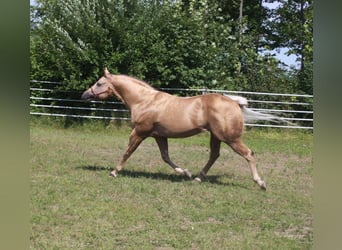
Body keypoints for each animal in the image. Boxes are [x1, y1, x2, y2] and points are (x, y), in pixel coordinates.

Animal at [81, 68, 276, 189]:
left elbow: (127, 152)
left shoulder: (139, 132)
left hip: (230, 138)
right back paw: (197, 178)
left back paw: (261, 183)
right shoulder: (159, 136)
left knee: (248, 154)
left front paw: (114, 172)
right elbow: (166, 157)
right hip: (216, 136)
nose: (84, 95)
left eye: (99, 83)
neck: (145, 101)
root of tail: (234, 103)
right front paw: (186, 173)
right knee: (214, 155)